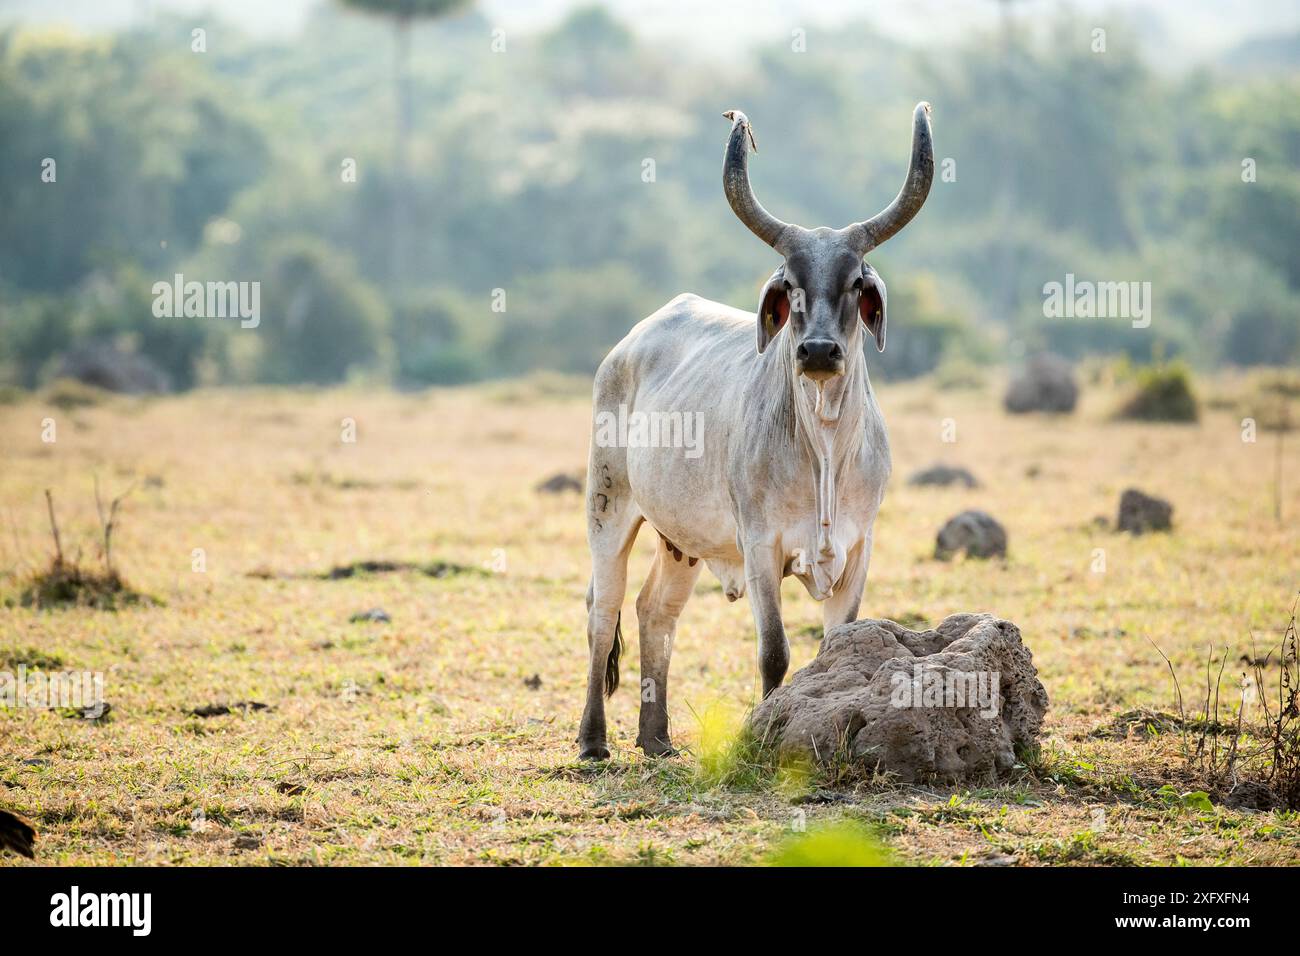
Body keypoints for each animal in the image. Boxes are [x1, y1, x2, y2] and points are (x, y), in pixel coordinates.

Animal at [579, 104, 935, 759]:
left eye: (855, 282)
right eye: (789, 283)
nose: (817, 351)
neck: (824, 447)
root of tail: (629, 344)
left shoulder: (860, 547)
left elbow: (833, 647)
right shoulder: (760, 545)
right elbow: (775, 653)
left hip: (681, 540)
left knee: (654, 611)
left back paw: (656, 739)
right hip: (607, 503)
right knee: (603, 609)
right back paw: (593, 741)